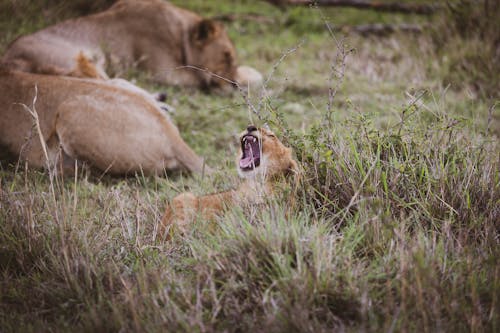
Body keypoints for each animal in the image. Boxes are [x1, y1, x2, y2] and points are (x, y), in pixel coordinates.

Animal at [1, 0, 262, 89]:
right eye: (226, 56)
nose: (233, 85)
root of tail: (9, 60)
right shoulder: (166, 73)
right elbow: (200, 78)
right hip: (77, 59)